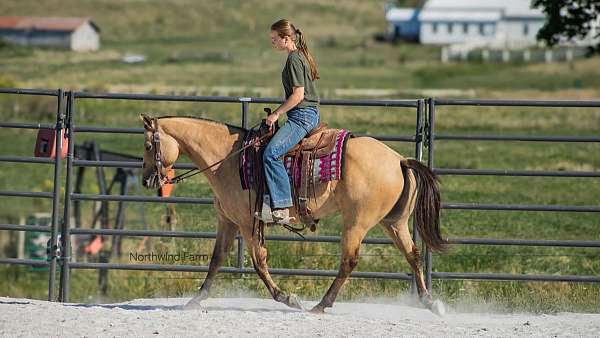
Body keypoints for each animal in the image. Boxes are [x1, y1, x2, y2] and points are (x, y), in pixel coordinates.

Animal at [137, 114, 446, 314]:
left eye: (149, 146)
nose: (147, 180)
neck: (229, 159)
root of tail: (399, 159)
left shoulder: (248, 224)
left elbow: (259, 263)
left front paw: (287, 298)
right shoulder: (228, 221)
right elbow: (216, 260)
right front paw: (196, 300)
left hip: (356, 223)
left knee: (349, 261)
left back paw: (321, 305)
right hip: (394, 222)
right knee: (413, 255)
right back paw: (430, 302)